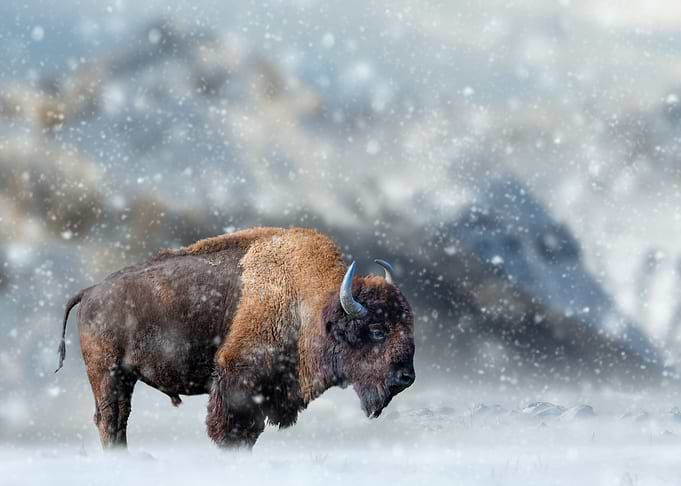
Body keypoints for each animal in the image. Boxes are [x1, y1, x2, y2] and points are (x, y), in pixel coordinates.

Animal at [56, 227, 415, 449]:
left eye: (408, 325)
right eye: (378, 330)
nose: (406, 378)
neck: (304, 303)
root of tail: (91, 291)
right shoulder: (236, 385)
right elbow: (231, 433)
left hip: (123, 377)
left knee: (119, 420)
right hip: (107, 374)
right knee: (110, 420)